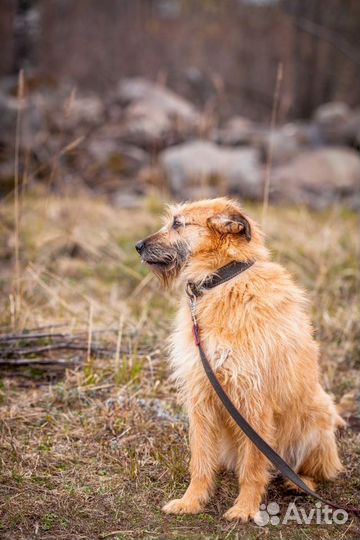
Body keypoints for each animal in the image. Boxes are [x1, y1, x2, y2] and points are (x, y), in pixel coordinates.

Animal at [134, 198, 344, 524]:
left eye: (178, 224)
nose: (138, 246)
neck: (221, 280)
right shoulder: (201, 394)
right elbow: (200, 461)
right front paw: (191, 501)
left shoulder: (253, 399)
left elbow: (254, 466)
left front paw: (245, 508)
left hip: (318, 416)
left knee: (313, 471)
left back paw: (300, 484)